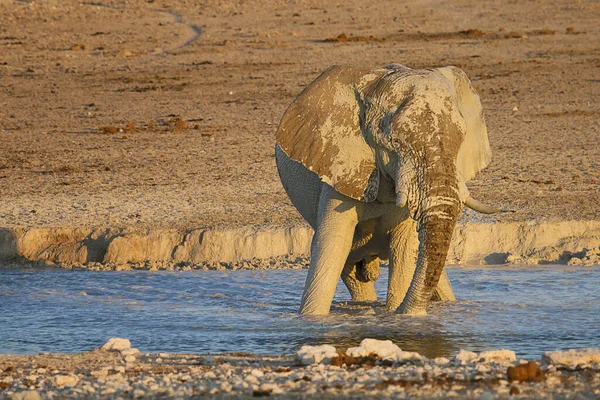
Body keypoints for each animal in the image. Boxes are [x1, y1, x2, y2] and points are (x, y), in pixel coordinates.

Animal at [276, 63, 502, 316]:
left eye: (462, 138)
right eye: (395, 142)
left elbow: (404, 246)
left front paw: (399, 314)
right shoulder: (342, 164)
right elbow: (333, 242)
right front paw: (312, 318)